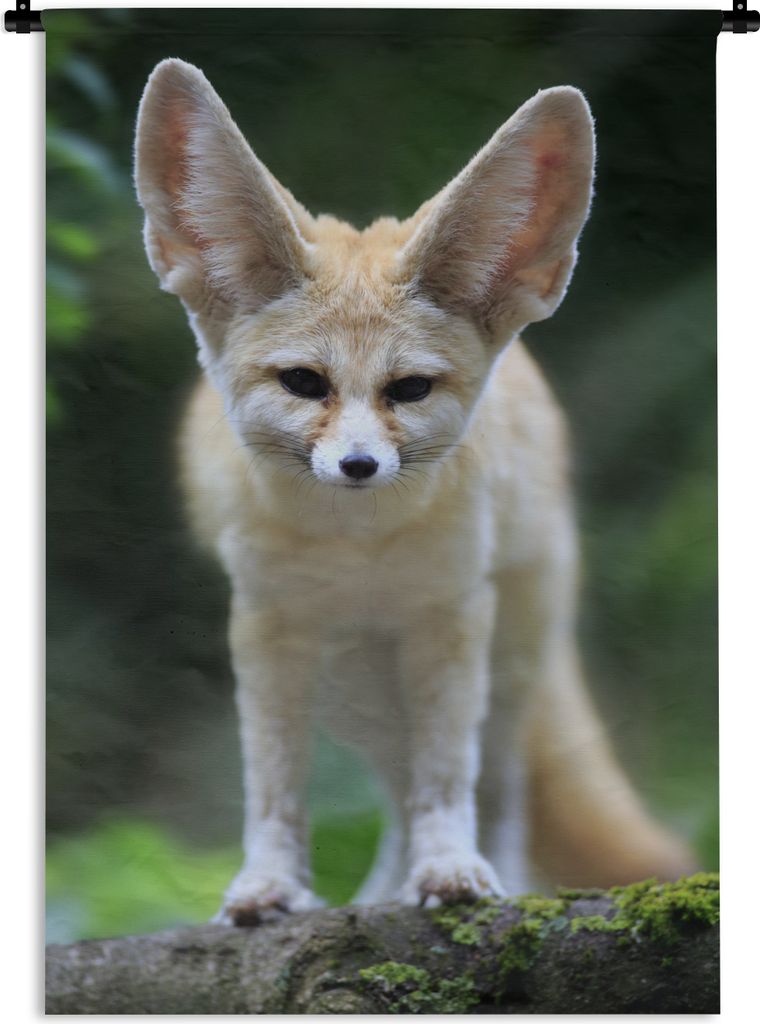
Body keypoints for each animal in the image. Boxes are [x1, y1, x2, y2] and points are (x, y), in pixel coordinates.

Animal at [135, 58, 695, 925]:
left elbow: (448, 779)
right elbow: (274, 786)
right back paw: (375, 895)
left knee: (494, 790)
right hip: (356, 692)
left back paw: (482, 880)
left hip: (501, 668)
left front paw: (452, 872)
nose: (359, 466)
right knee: (395, 795)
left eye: (409, 390)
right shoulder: (268, 627)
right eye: (305, 383)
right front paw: (267, 885)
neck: (358, 552)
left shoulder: (449, 617)